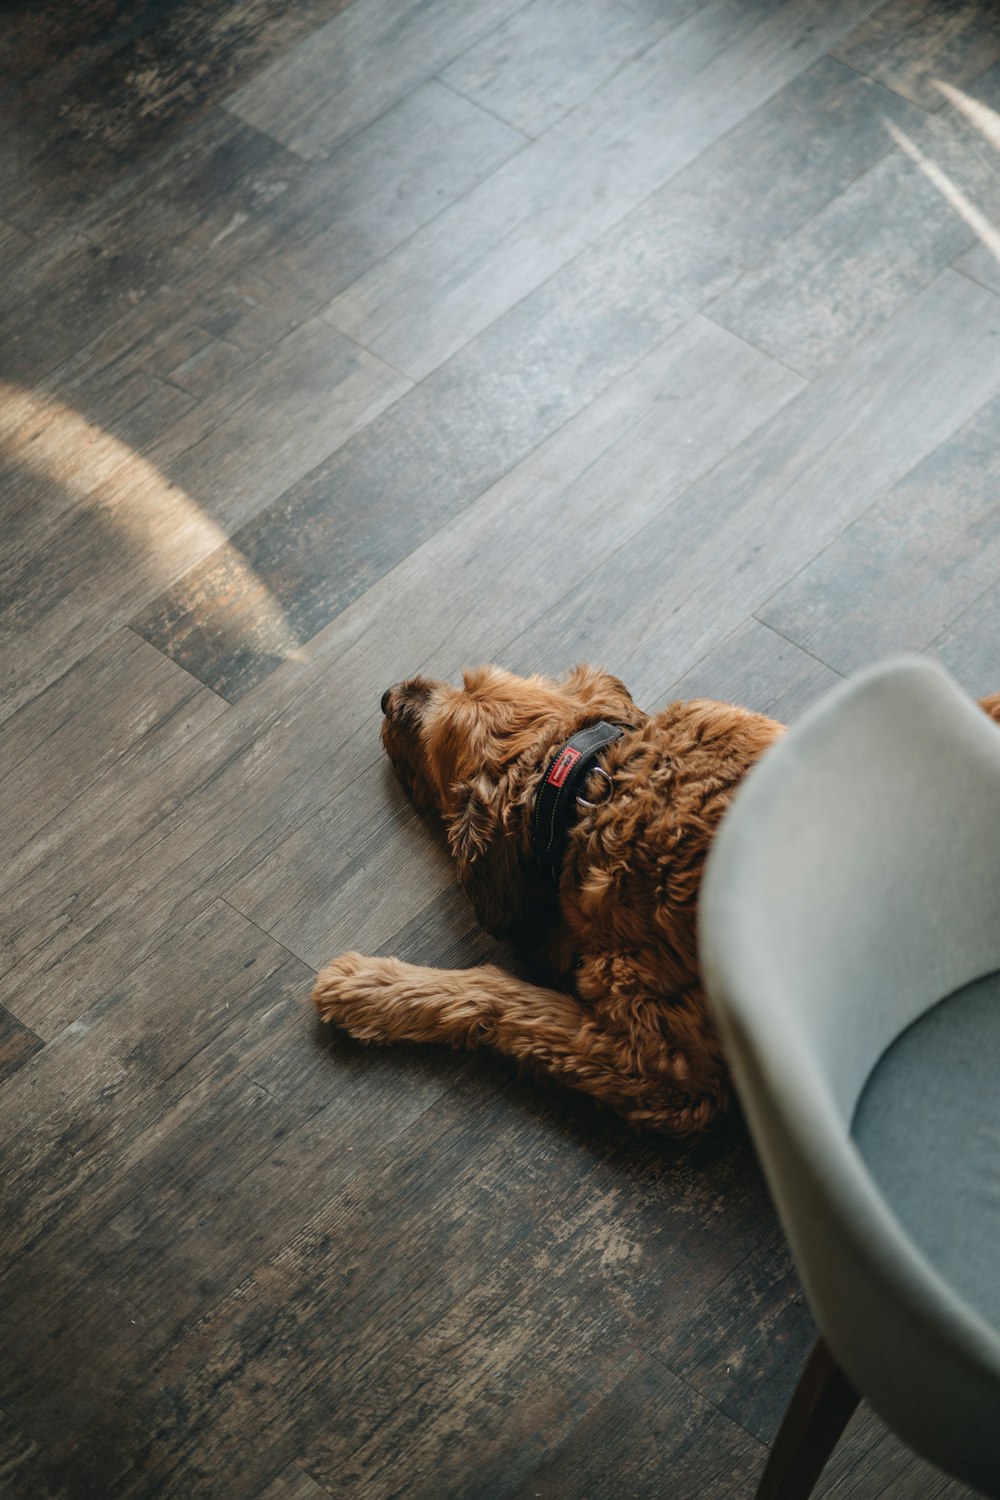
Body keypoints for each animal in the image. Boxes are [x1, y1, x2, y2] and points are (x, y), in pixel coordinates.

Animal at [314, 669, 1000, 1134]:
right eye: (468, 678)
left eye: (431, 744)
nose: (387, 696)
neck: (594, 784)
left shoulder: (662, 1070)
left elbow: (497, 994)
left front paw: (372, 989)